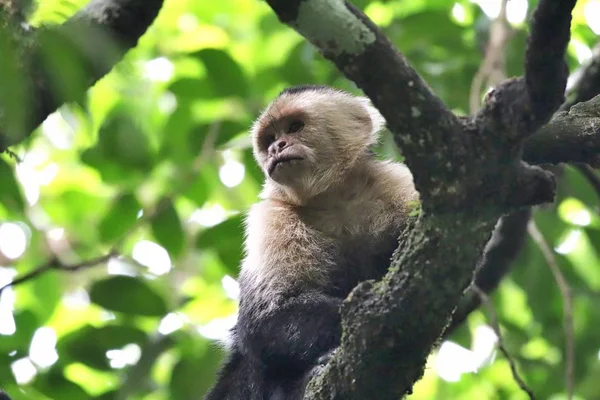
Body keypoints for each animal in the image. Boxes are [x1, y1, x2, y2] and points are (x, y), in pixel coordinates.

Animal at [204, 85, 420, 400]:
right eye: (269, 139)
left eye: (295, 127)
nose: (276, 147)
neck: (332, 198)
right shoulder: (271, 217)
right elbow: (266, 319)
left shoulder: (396, 184)